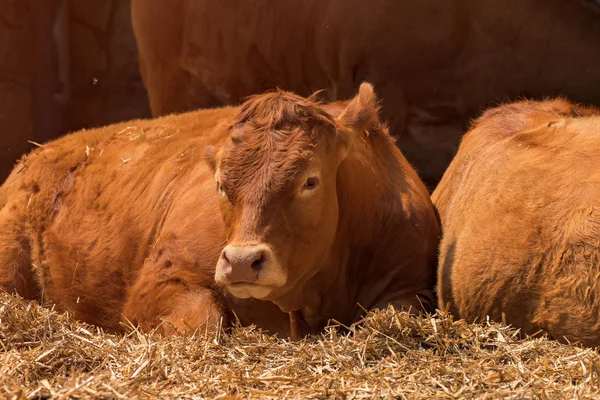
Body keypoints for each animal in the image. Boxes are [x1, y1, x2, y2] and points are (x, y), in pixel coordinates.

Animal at [0, 84, 440, 338]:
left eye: (310, 181)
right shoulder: (163, 279)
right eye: (221, 185)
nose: (243, 261)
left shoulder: (409, 284)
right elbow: (204, 321)